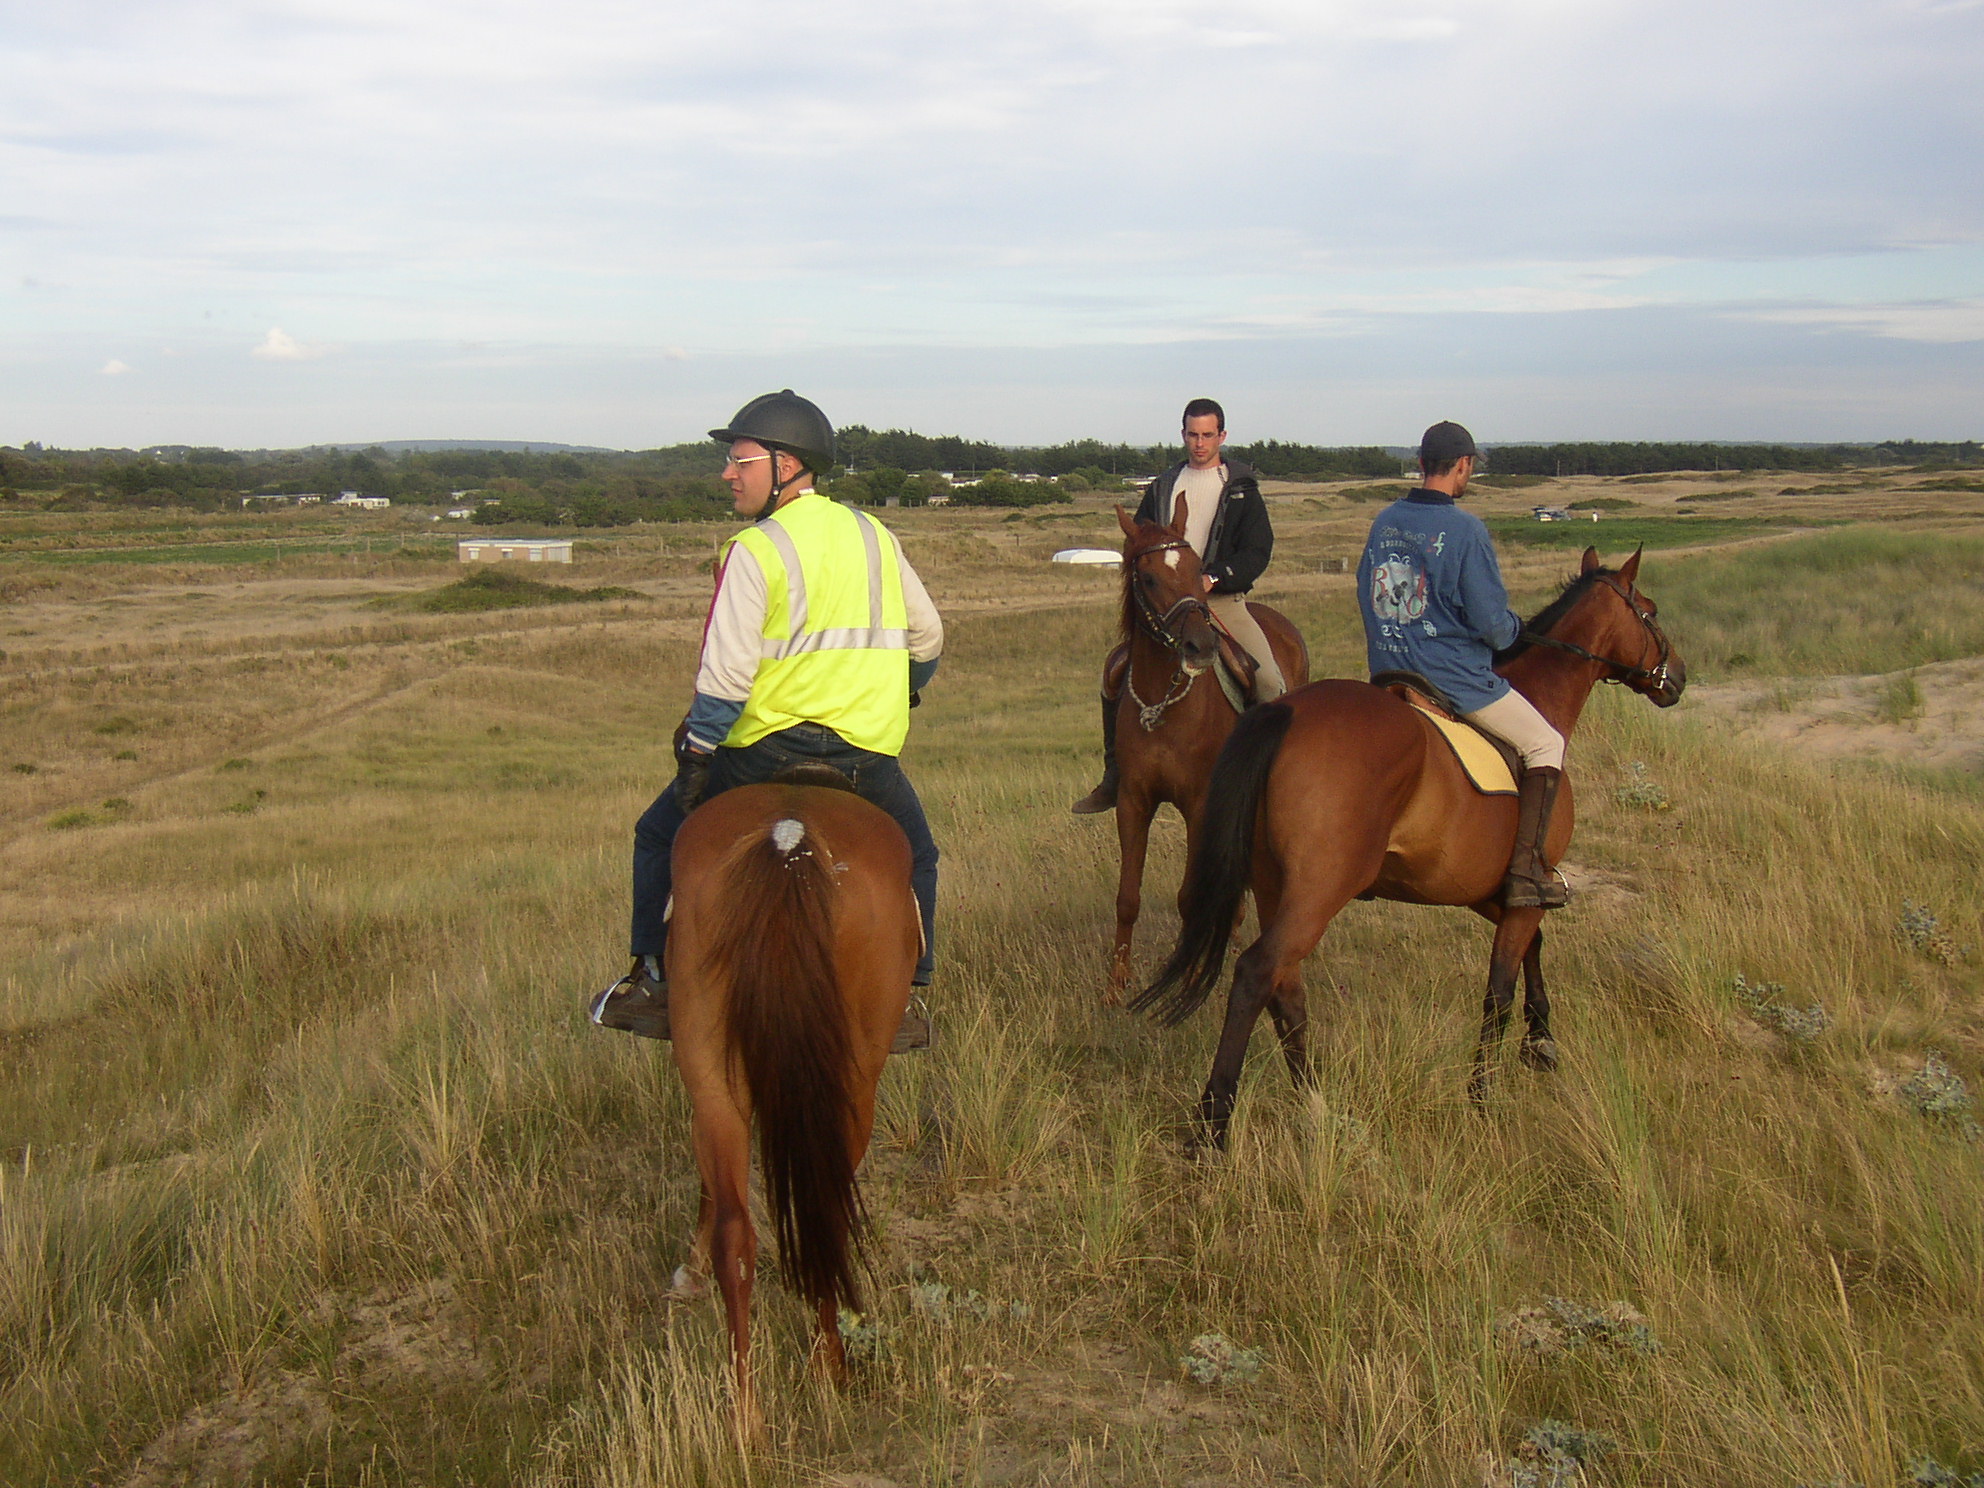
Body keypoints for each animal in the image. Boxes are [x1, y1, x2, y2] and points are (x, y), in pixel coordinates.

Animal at [666, 772, 920, 1438]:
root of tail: (788, 837)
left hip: (711, 1062)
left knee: (737, 1232)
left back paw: (745, 1416)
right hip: (853, 1080)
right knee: (823, 1211)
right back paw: (831, 1366)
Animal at [1097, 499, 1308, 1001]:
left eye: (1198, 570)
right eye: (1148, 578)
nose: (1202, 644)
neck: (1164, 703)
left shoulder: (1199, 805)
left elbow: (1190, 897)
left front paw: (1187, 973)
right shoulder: (1133, 801)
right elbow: (1127, 897)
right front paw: (1116, 985)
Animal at [1132, 547, 1683, 1147]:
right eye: (1651, 611)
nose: (1676, 677)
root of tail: (1286, 711)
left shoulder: (1487, 891)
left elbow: (1531, 951)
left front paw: (1540, 1043)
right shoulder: (1524, 887)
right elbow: (1499, 988)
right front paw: (1483, 1096)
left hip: (1277, 888)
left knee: (1286, 988)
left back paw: (1316, 1105)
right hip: (1317, 892)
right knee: (1257, 974)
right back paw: (1213, 1125)